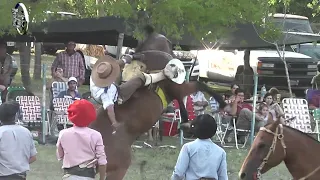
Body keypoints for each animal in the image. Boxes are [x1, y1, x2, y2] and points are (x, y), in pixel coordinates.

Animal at [89, 25, 226, 180]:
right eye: (170, 44)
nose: (184, 59)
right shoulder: (178, 88)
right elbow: (199, 85)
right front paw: (221, 103)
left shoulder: (176, 92)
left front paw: (185, 122)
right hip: (118, 169)